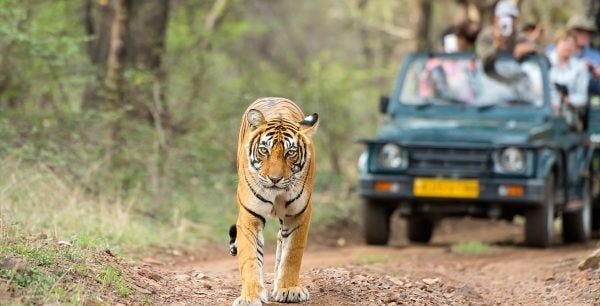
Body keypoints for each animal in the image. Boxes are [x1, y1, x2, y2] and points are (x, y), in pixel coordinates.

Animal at [229, 97, 318, 304]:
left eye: (290, 153)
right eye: (264, 150)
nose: (275, 179)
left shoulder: (299, 215)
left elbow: (292, 253)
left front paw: (289, 289)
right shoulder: (249, 217)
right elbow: (250, 257)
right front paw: (250, 296)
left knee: (280, 240)